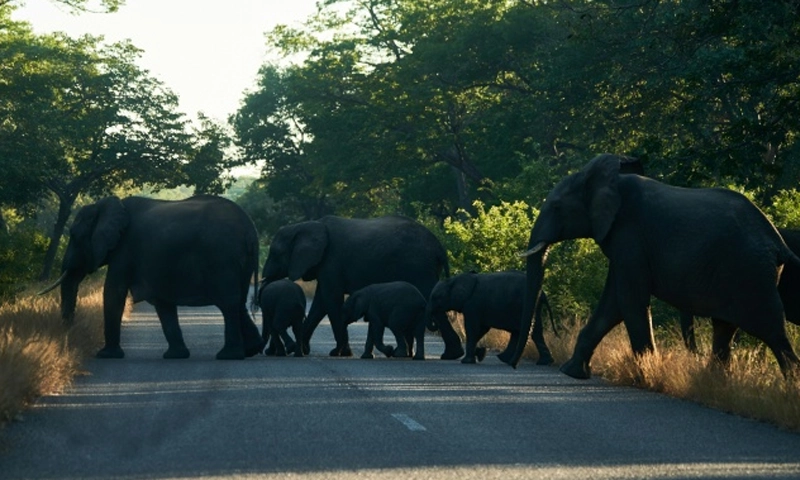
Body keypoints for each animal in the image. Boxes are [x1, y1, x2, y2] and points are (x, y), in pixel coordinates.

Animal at [40, 195, 264, 360]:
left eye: (74, 235)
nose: (67, 333)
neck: (105, 206)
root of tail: (250, 230)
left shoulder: (124, 249)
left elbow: (113, 291)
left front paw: (105, 355)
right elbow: (162, 303)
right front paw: (175, 356)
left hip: (221, 259)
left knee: (228, 304)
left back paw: (229, 356)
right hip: (238, 263)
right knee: (238, 302)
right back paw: (249, 351)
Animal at [261, 215, 464, 359]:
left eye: (275, 253)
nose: (268, 351)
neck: (305, 225)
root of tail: (439, 247)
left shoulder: (332, 262)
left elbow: (330, 301)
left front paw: (339, 353)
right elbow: (320, 304)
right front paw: (302, 349)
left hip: (418, 266)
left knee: (431, 299)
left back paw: (451, 355)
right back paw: (450, 354)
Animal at [509, 153, 800, 379]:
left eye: (557, 207)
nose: (511, 363)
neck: (610, 181)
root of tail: (778, 242)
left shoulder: (629, 234)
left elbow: (629, 300)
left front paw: (646, 376)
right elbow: (613, 302)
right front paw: (572, 372)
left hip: (750, 274)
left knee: (771, 331)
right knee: (725, 328)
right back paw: (715, 383)